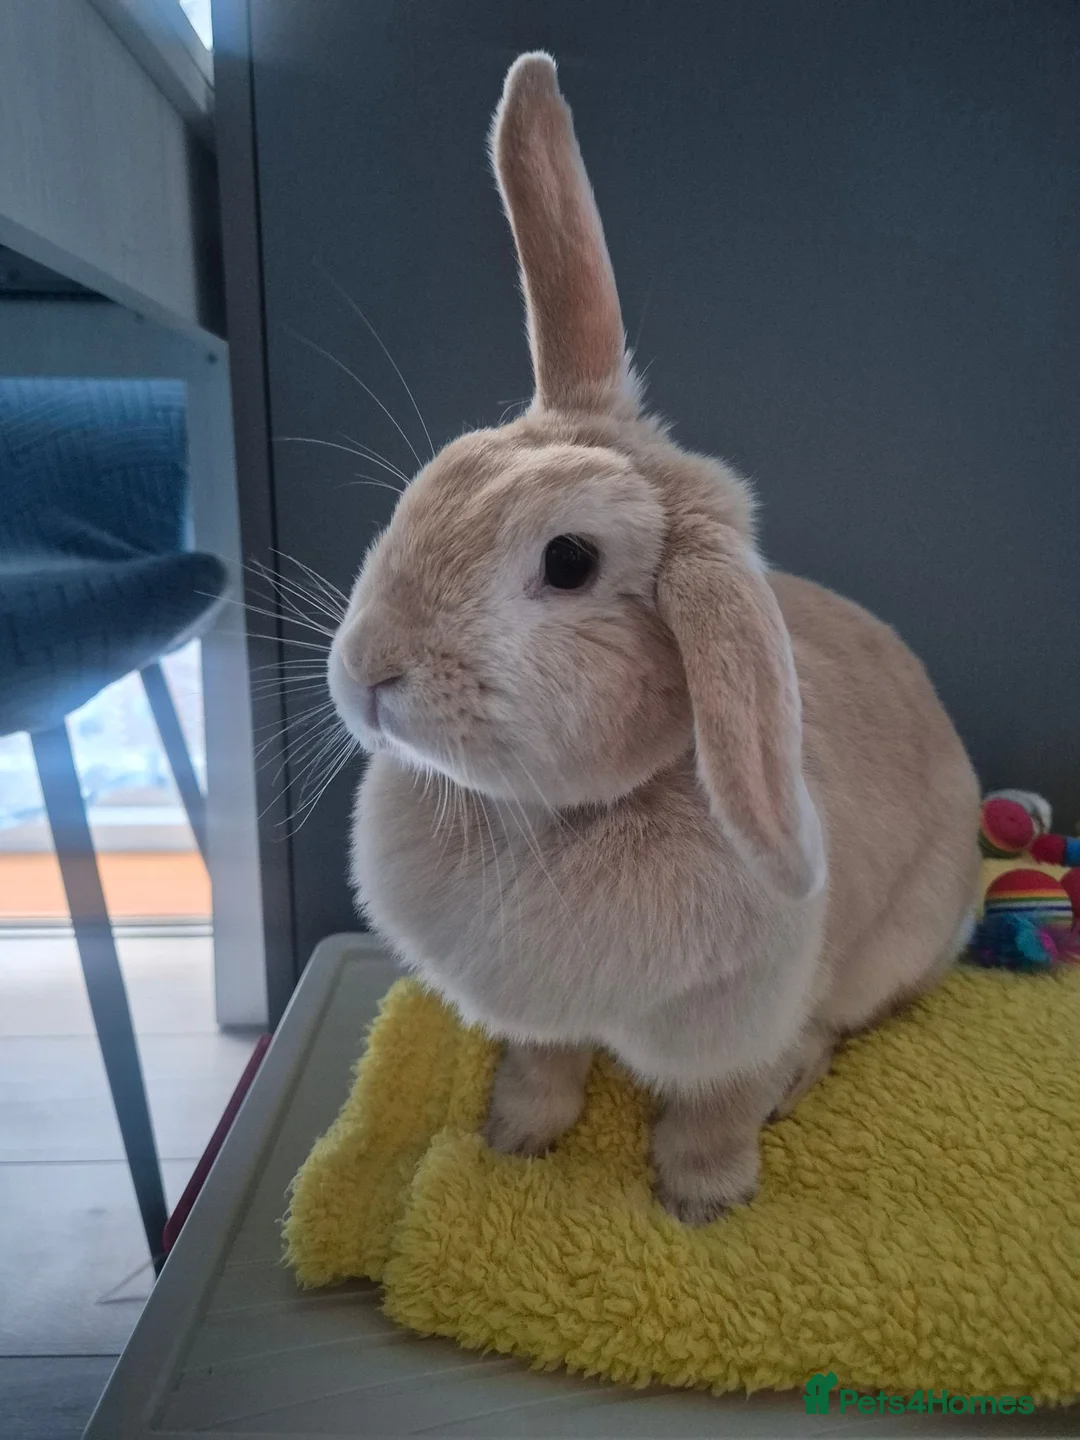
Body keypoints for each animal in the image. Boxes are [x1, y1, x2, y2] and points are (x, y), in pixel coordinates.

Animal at [328, 53, 982, 1225]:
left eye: (569, 563)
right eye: (439, 478)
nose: (367, 675)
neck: (544, 818)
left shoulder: (739, 1021)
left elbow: (717, 1108)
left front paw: (699, 1204)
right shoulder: (540, 1018)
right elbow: (545, 1066)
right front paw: (514, 1141)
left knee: (832, 1032)